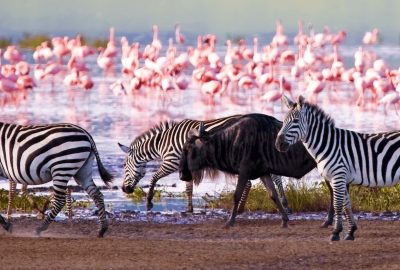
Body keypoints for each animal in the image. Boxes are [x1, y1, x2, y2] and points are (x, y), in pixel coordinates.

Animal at [119, 115, 290, 214]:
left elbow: (154, 178)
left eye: (124, 166)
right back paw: (284, 203)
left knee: (254, 181)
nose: (124, 189)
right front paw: (189, 209)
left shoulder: (171, 162)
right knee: (274, 177)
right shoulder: (185, 166)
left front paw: (148, 202)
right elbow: (188, 188)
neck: (162, 143)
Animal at [276, 94, 400, 240]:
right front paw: (350, 232)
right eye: (284, 121)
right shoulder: (339, 178)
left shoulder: (338, 176)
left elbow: (337, 205)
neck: (328, 144)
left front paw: (335, 232)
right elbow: (346, 205)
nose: (278, 144)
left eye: (295, 121)